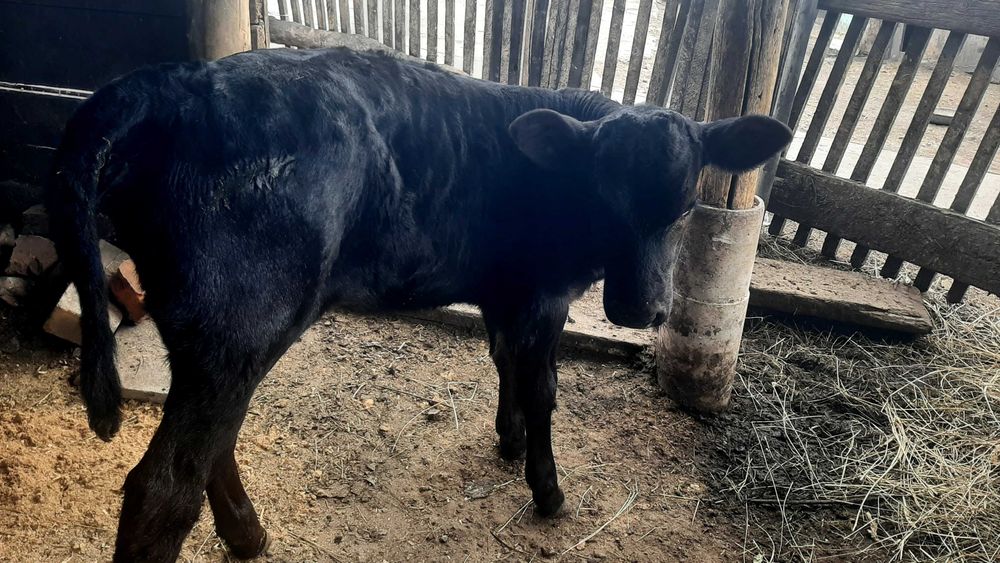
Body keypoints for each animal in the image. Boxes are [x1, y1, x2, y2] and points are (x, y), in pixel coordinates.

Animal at [47, 47, 791, 561]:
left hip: (210, 332)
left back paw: (250, 535)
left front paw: (508, 441)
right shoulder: (542, 293)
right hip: (240, 320)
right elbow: (543, 387)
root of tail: (173, 83)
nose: (643, 310)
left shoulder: (505, 290)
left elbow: (505, 364)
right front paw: (548, 490)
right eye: (604, 199)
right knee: (163, 488)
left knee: (212, 449)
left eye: (686, 204)